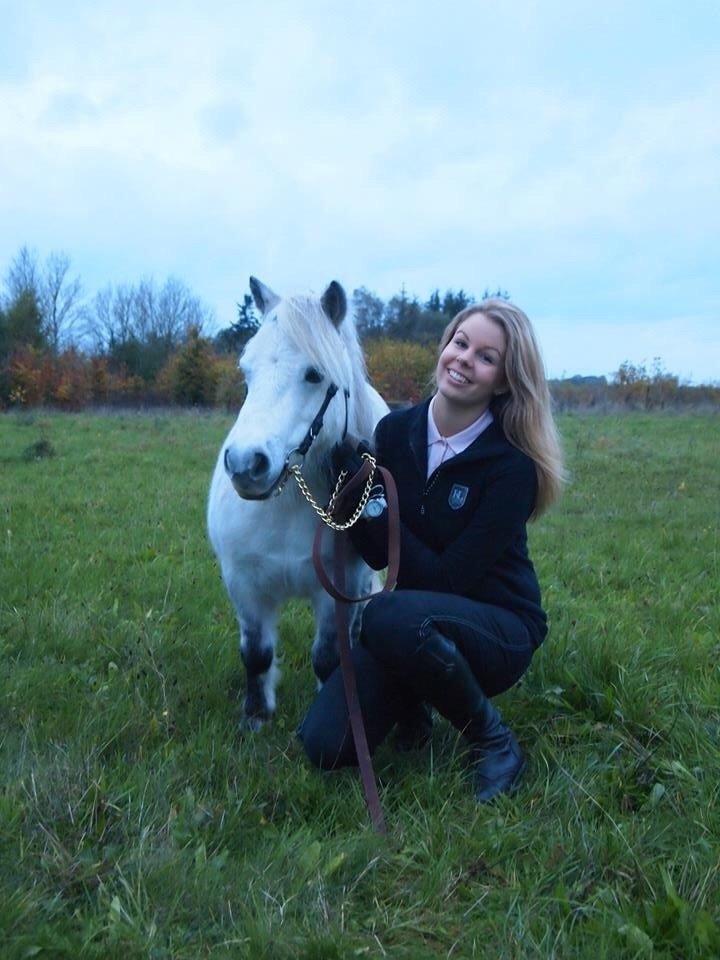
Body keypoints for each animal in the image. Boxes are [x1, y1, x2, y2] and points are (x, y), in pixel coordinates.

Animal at [207, 277, 389, 729]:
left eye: (314, 374)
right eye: (247, 371)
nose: (246, 464)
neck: (286, 503)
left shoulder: (338, 589)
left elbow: (327, 658)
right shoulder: (244, 585)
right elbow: (256, 655)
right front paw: (256, 718)